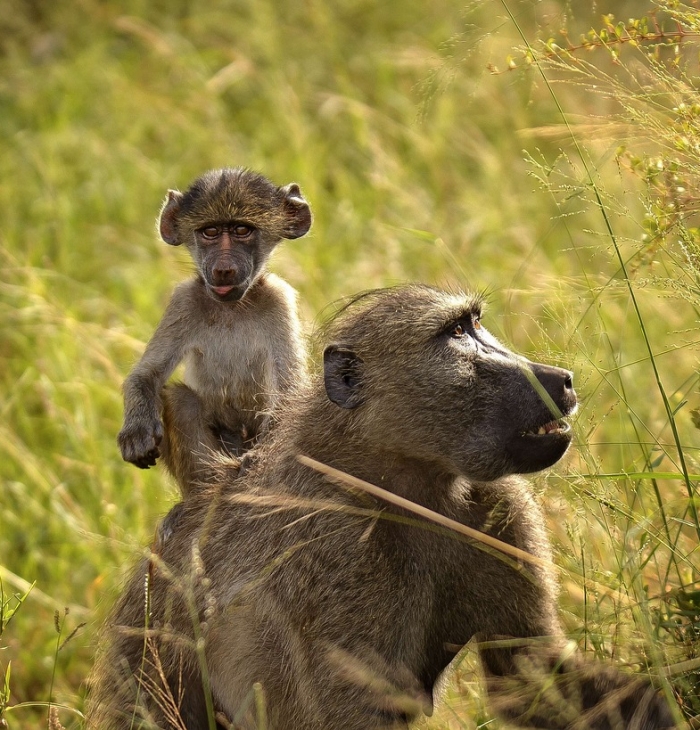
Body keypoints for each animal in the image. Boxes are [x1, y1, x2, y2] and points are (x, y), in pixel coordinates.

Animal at [89, 284, 676, 730]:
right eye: (456, 333)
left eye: (475, 323)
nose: (561, 379)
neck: (403, 485)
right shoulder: (338, 553)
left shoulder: (499, 506)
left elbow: (529, 676)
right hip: (141, 657)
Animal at [117, 167, 311, 495]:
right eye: (210, 232)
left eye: (241, 230)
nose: (223, 270)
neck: (231, 308)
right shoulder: (183, 301)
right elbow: (146, 375)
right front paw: (136, 432)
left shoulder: (279, 298)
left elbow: (289, 391)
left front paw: (259, 459)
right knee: (180, 400)